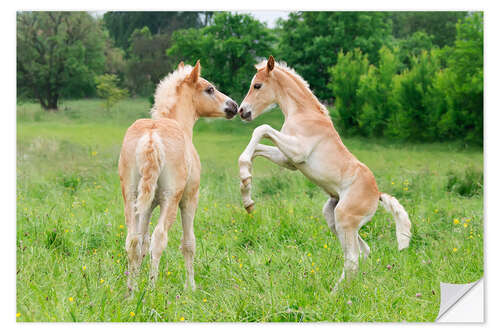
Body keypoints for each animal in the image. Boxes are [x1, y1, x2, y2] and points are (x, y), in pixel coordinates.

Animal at [120, 60, 239, 290]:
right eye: (209, 89)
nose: (234, 106)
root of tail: (151, 137)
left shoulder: (147, 205)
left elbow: (142, 242)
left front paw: (135, 282)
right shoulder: (190, 199)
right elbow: (188, 243)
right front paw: (191, 287)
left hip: (131, 197)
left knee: (133, 240)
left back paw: (131, 290)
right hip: (171, 199)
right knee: (159, 238)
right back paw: (151, 289)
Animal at [237, 55, 410, 288]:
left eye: (257, 85)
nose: (242, 111)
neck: (303, 113)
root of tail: (378, 194)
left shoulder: (297, 152)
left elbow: (261, 129)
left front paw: (246, 182)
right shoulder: (289, 160)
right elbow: (256, 149)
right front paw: (246, 193)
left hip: (344, 218)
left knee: (352, 258)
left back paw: (335, 292)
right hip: (333, 216)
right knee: (363, 251)